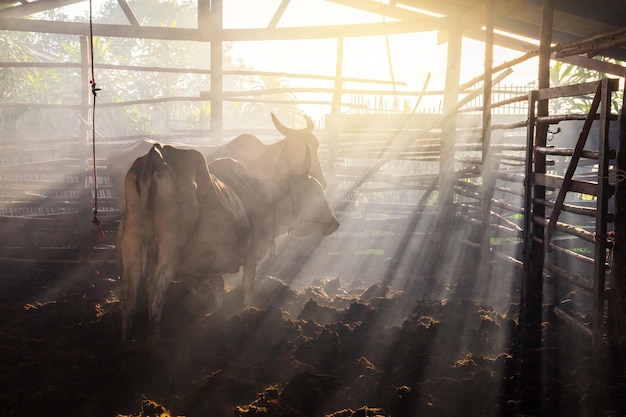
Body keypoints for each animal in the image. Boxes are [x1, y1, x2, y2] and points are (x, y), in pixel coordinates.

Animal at [120, 144, 338, 344]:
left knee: (130, 288)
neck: (264, 198)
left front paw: (214, 316)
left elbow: (216, 289)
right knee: (155, 287)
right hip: (171, 247)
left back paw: (127, 340)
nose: (334, 223)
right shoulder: (251, 255)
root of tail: (155, 156)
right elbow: (247, 288)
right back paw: (156, 342)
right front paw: (245, 312)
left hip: (132, 242)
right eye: (315, 193)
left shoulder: (208, 264)